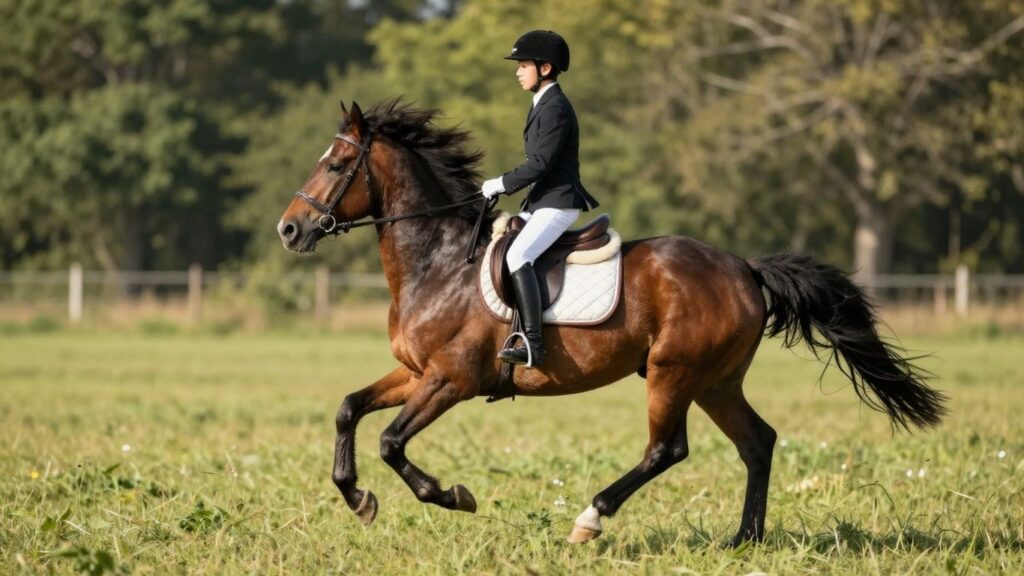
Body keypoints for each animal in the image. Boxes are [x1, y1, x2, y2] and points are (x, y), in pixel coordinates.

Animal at [276, 99, 947, 546]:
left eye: (335, 165)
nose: (289, 229)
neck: (438, 260)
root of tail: (744, 268)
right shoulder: (416, 374)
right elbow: (348, 409)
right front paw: (358, 498)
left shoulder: (451, 380)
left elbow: (391, 442)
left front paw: (450, 496)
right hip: (715, 381)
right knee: (757, 441)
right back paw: (743, 540)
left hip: (673, 373)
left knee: (666, 449)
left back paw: (589, 520)